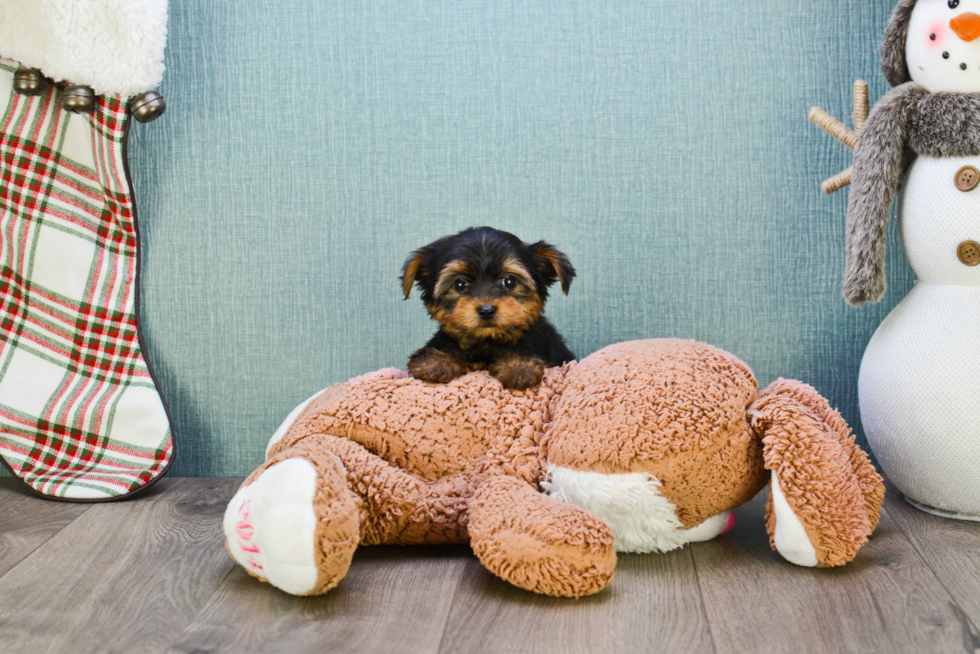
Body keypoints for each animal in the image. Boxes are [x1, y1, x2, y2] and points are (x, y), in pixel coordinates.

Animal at [402, 227, 580, 390]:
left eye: (510, 281)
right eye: (459, 284)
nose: (486, 310)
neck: (487, 343)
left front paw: (519, 367)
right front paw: (436, 362)